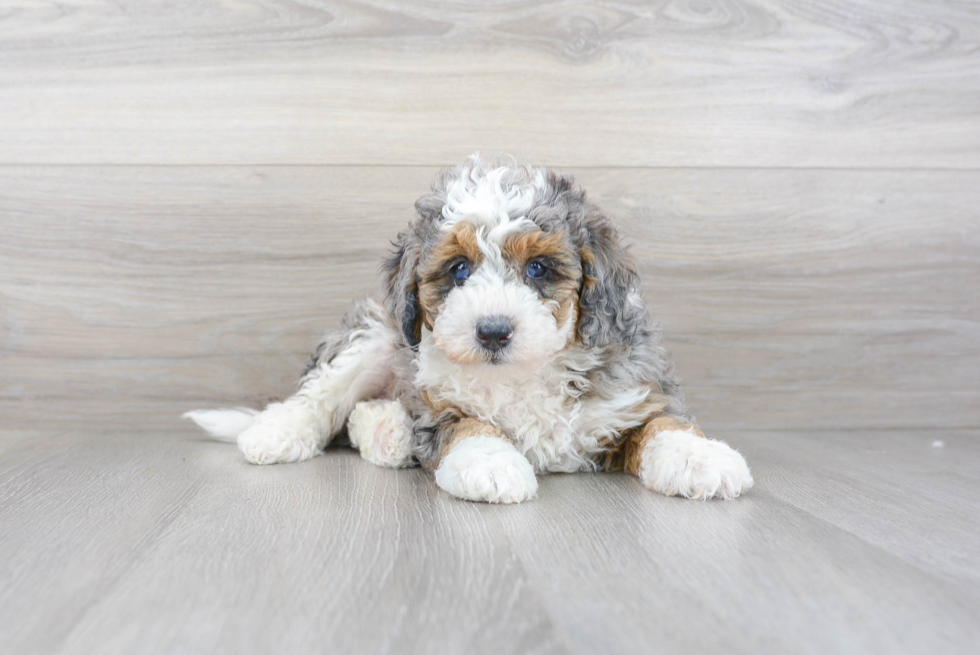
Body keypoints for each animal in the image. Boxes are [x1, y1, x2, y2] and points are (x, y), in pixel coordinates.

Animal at [188, 156, 756, 504]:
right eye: (459, 269)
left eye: (539, 270)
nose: (493, 331)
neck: (523, 374)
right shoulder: (438, 404)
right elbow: (469, 426)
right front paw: (492, 466)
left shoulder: (636, 391)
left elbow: (664, 423)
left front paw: (700, 458)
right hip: (377, 333)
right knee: (324, 399)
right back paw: (280, 433)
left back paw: (388, 432)